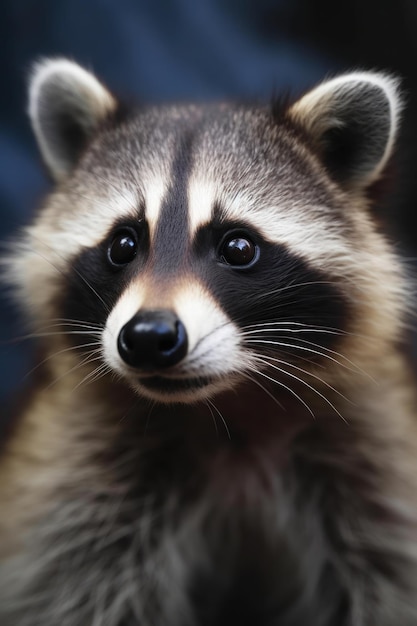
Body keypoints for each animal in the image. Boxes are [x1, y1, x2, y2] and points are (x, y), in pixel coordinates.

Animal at [0, 59, 416, 624]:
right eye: (123, 244)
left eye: (238, 247)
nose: (148, 337)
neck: (226, 408)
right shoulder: (80, 479)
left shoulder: (371, 460)